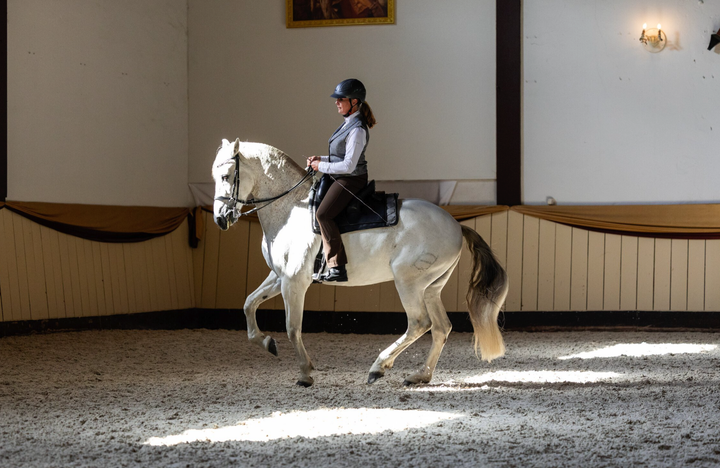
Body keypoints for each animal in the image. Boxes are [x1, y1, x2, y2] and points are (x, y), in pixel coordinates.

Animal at [211, 139, 510, 388]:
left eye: (226, 176)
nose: (221, 219)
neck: (290, 210)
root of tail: (457, 226)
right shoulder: (279, 277)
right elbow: (249, 304)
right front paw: (267, 343)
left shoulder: (294, 283)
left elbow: (292, 328)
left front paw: (305, 373)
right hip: (431, 288)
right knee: (441, 328)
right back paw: (419, 376)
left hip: (408, 282)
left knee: (419, 323)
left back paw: (379, 367)